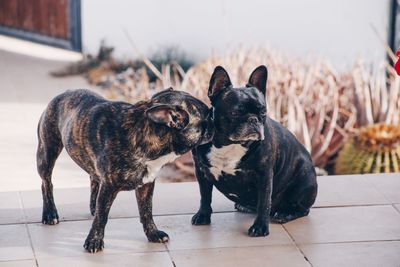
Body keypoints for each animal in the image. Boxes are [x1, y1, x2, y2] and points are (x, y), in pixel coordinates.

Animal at [36, 89, 214, 253]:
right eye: (208, 117)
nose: (215, 119)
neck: (144, 133)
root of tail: (62, 94)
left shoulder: (146, 184)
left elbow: (146, 211)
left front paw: (153, 233)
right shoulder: (109, 186)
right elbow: (102, 217)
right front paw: (94, 241)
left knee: (94, 178)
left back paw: (92, 206)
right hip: (47, 153)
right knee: (46, 183)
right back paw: (50, 214)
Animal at [192, 66, 318, 238]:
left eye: (263, 112)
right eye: (235, 113)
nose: (253, 119)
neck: (229, 144)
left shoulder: (264, 175)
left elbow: (264, 203)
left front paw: (260, 227)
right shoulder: (201, 171)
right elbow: (204, 195)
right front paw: (203, 215)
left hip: (304, 182)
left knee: (302, 208)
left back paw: (285, 213)